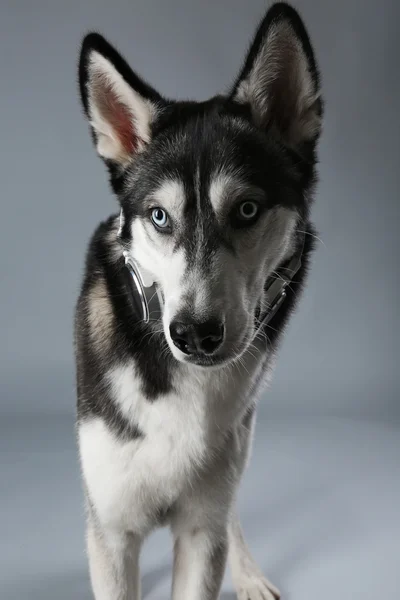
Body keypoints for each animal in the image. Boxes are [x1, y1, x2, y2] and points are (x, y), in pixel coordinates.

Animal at [76, 2, 322, 596]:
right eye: (159, 216)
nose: (194, 333)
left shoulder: (200, 530)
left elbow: (215, 525)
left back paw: (249, 573)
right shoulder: (112, 531)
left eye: (248, 209)